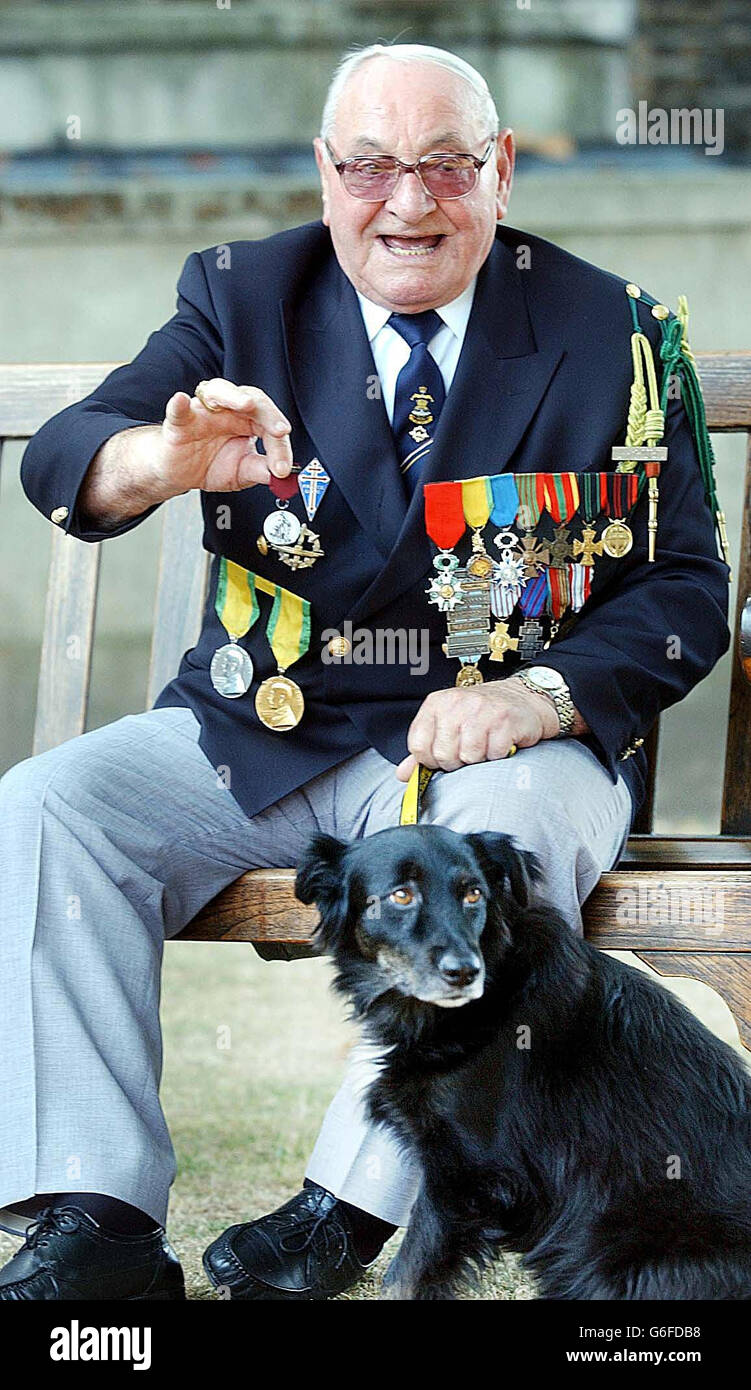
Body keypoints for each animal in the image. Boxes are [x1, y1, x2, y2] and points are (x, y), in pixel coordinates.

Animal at [296, 817, 751, 1295]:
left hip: (605, 1254)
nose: (465, 973)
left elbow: (407, 1275)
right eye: (401, 896)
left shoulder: (466, 1175)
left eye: (473, 894)